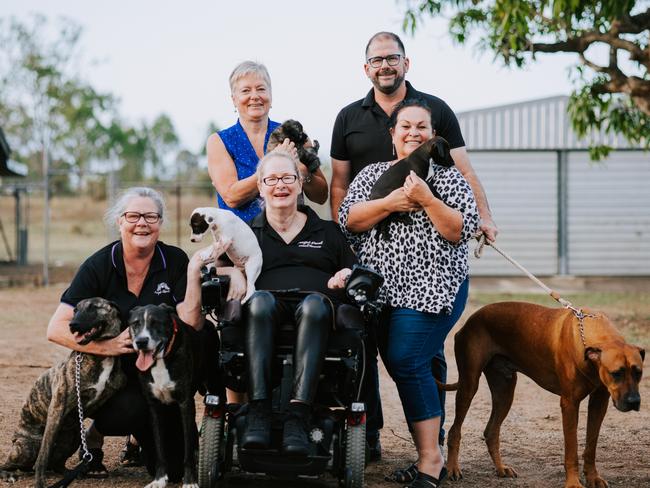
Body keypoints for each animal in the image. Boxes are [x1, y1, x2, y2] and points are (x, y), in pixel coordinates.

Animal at [0, 298, 125, 488]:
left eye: (94, 307)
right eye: (75, 310)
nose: (72, 325)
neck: (101, 357)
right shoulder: (57, 409)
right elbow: (42, 457)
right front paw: (40, 482)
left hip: (74, 437)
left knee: (56, 464)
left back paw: (68, 473)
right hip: (25, 448)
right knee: (15, 463)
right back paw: (8, 474)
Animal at [128, 304, 204, 488]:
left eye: (156, 323)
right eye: (135, 324)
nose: (141, 342)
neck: (160, 361)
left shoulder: (185, 404)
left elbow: (187, 449)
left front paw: (190, 480)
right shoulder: (154, 407)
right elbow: (159, 448)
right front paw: (159, 479)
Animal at [446, 302, 644, 488]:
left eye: (638, 373)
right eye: (616, 373)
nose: (634, 401)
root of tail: (470, 320)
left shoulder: (599, 402)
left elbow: (591, 447)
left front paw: (593, 477)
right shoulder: (569, 404)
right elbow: (571, 451)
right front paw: (573, 483)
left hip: (505, 392)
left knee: (491, 432)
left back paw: (501, 468)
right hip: (469, 385)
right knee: (455, 430)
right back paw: (452, 468)